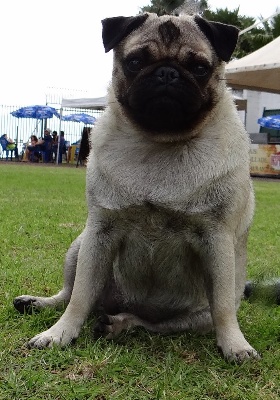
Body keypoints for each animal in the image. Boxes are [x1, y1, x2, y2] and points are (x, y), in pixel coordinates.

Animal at [13, 12, 260, 362]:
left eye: (199, 67)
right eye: (135, 62)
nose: (167, 72)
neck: (159, 142)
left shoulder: (218, 240)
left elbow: (224, 308)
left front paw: (235, 345)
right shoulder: (100, 233)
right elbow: (79, 297)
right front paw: (59, 334)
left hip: (194, 316)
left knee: (149, 323)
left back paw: (119, 324)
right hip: (80, 245)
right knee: (71, 294)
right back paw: (38, 304)